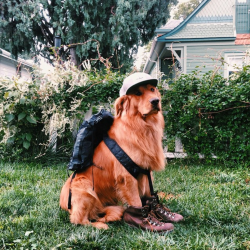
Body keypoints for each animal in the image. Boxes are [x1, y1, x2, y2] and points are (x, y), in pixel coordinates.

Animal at [59, 83, 165, 229]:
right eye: (138, 93)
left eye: (152, 89)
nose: (155, 101)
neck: (140, 125)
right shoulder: (127, 177)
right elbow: (137, 202)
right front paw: (143, 219)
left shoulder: (145, 172)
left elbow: (150, 196)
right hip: (84, 187)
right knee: (78, 219)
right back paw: (101, 225)